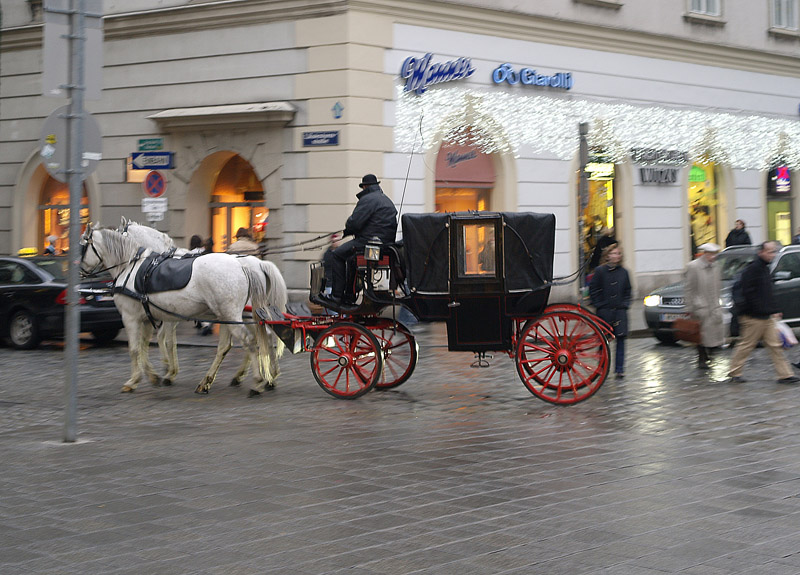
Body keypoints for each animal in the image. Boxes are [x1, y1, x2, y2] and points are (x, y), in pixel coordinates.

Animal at [80, 225, 284, 396]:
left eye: (82, 246)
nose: (80, 271)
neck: (134, 267)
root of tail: (245, 265)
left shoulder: (133, 318)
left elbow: (140, 347)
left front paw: (141, 378)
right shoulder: (148, 317)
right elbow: (146, 346)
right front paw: (155, 375)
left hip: (232, 315)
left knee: (250, 341)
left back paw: (257, 382)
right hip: (235, 315)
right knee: (251, 339)